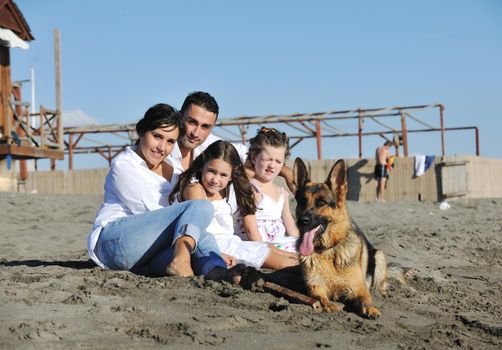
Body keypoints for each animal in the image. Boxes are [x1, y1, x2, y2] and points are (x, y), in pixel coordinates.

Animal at [294, 159, 388, 320]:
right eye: (302, 201)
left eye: (321, 203)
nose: (302, 221)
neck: (328, 251)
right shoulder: (316, 288)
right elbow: (320, 298)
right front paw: (330, 305)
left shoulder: (358, 289)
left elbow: (365, 299)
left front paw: (371, 308)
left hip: (380, 255)